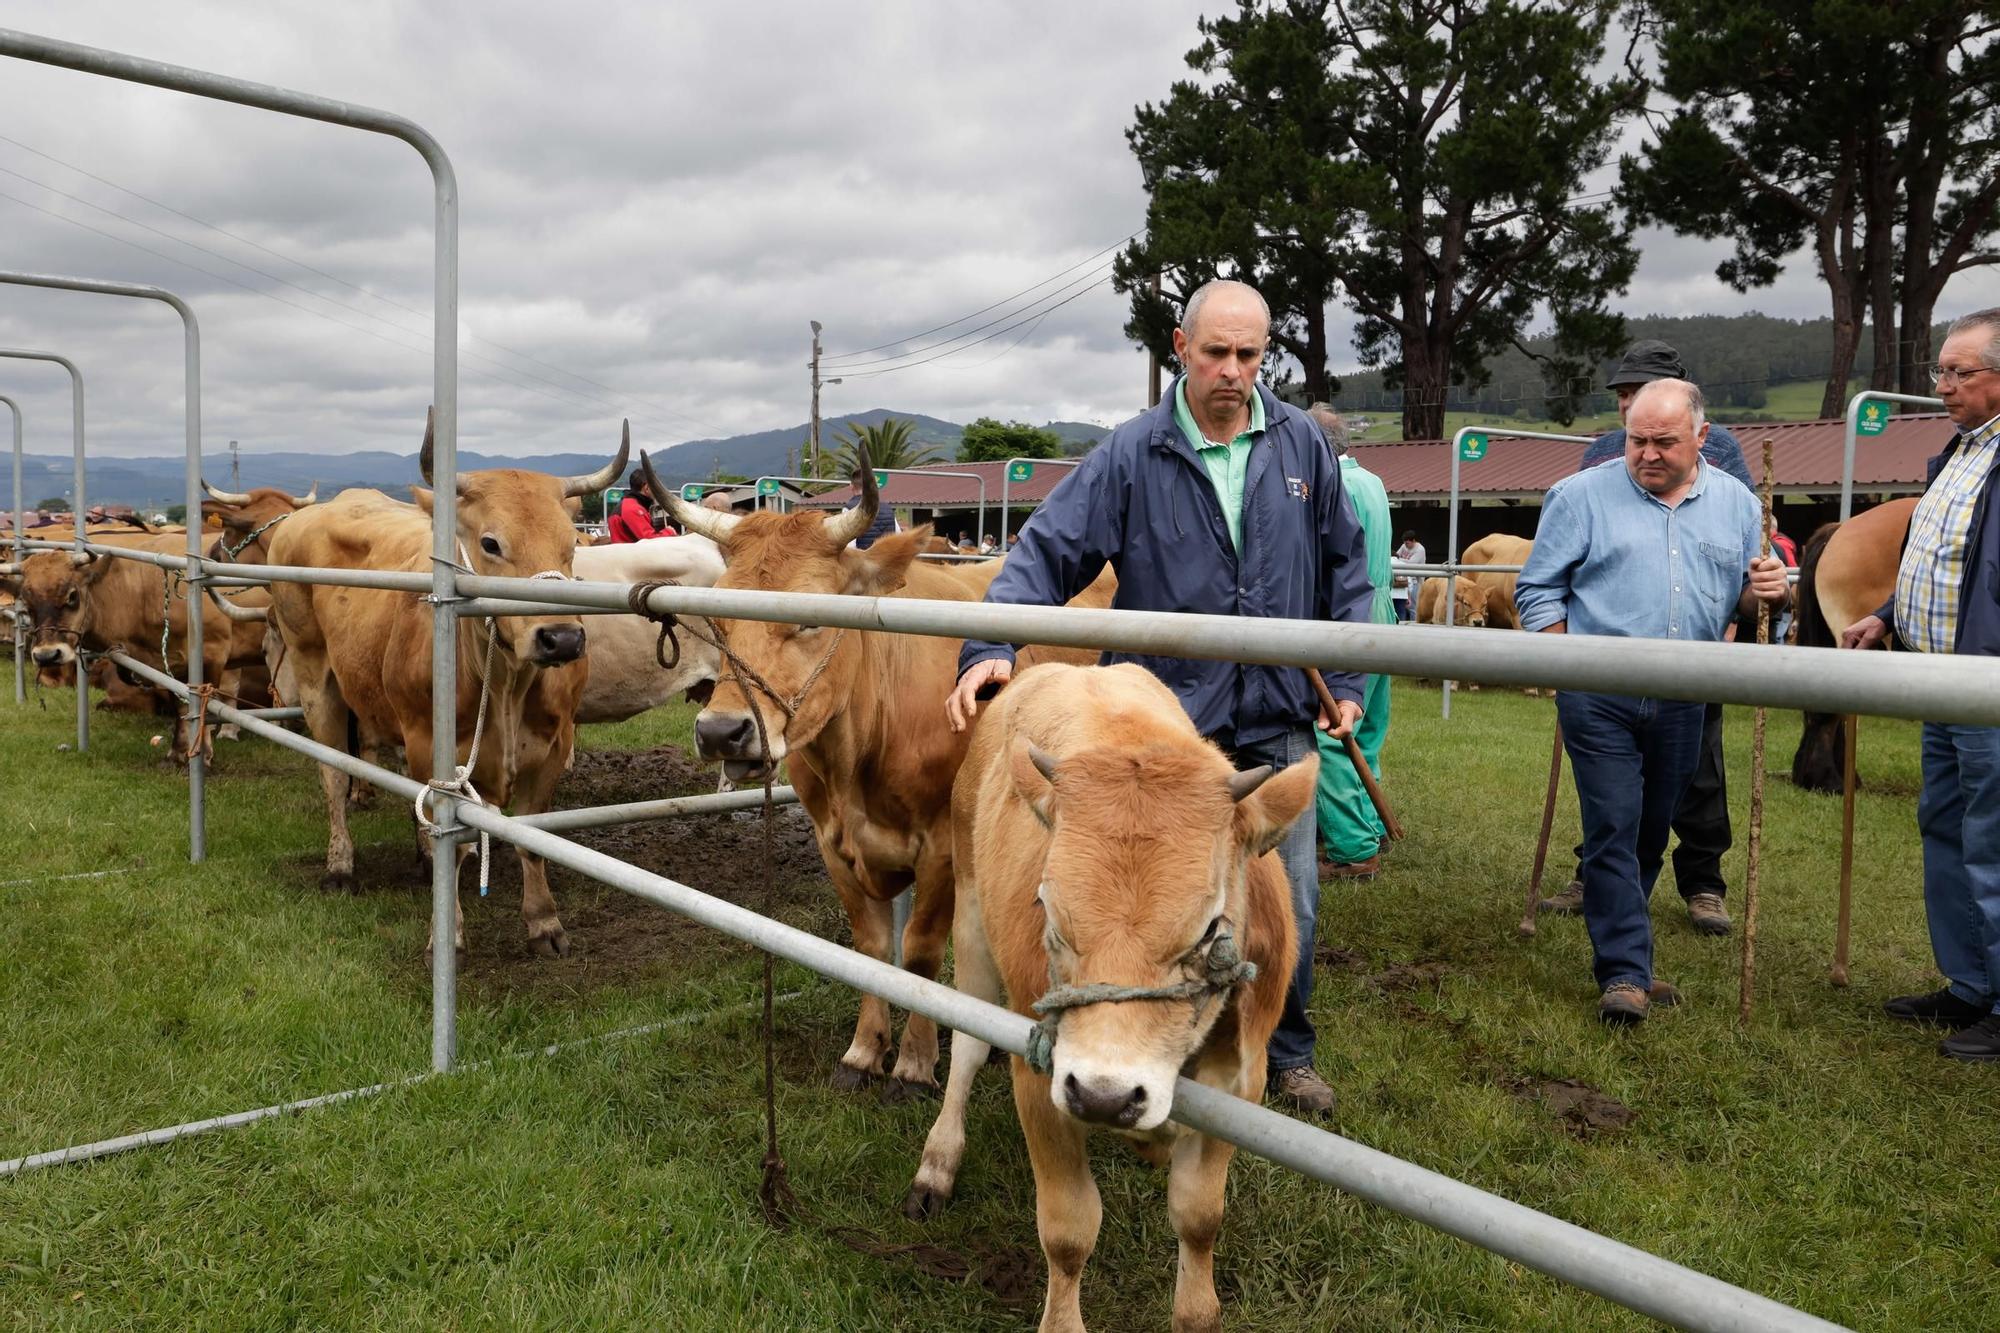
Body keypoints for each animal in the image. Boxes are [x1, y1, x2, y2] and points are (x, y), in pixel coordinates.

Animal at [266, 416, 620, 956]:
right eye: (491, 543)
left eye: (572, 543)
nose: (561, 638)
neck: (507, 686)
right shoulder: (429, 745)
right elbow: (448, 841)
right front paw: (446, 930)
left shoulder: (554, 747)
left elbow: (532, 836)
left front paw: (544, 921)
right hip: (313, 674)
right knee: (334, 775)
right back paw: (340, 865)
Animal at [652, 452, 1112, 1096]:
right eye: (718, 621)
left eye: (811, 617)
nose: (721, 732)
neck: (857, 760)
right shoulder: (833, 843)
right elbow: (870, 947)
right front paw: (866, 1050)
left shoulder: (943, 846)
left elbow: (918, 952)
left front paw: (915, 1061)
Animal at [904, 664, 1304, 1328]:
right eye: (1048, 910)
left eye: (1210, 929)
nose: (1103, 1094)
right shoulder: (1041, 1074)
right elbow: (1068, 1231)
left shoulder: (1241, 1085)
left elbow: (1200, 1218)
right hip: (969, 916)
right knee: (964, 1049)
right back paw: (937, 1163)